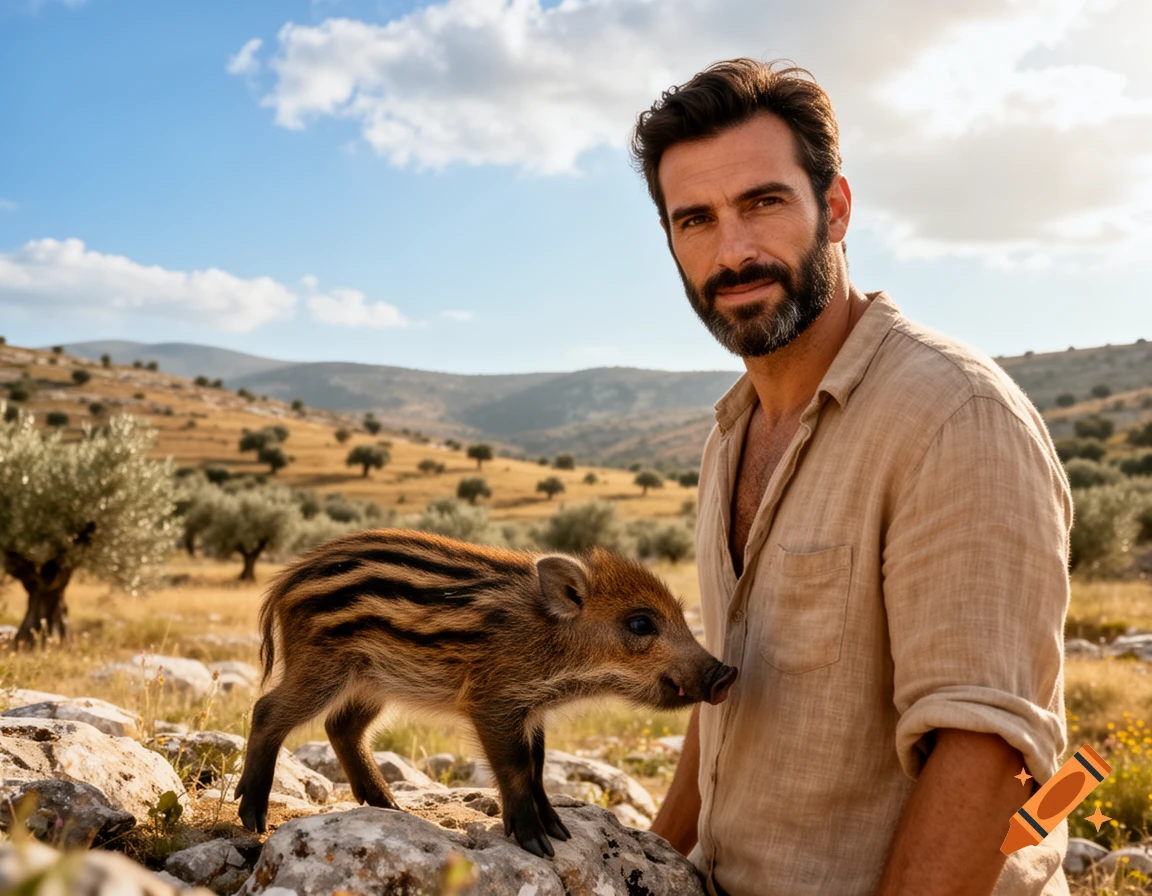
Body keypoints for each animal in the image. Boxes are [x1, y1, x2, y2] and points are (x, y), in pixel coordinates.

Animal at [233, 528, 737, 857]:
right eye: (640, 624)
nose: (726, 673)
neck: (553, 645)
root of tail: (287, 581)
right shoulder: (494, 702)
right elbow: (514, 767)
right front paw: (537, 845)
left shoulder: (531, 710)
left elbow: (537, 766)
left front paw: (559, 831)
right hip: (323, 667)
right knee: (268, 710)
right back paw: (254, 817)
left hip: (373, 681)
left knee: (343, 727)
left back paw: (390, 806)